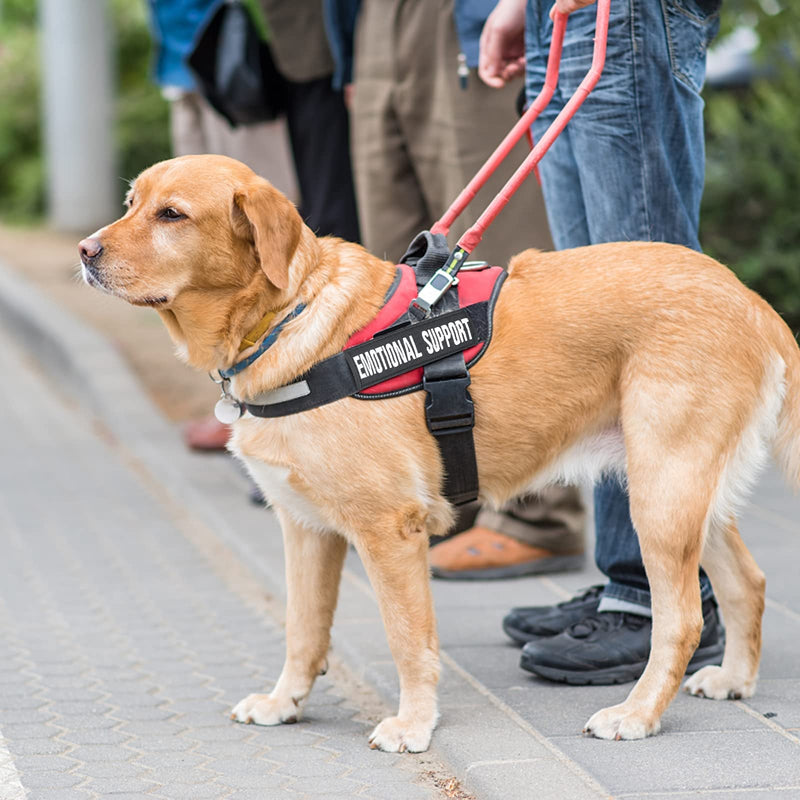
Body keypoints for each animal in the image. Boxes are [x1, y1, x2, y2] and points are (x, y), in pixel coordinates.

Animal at [79, 155, 800, 752]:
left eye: (172, 215)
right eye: (132, 201)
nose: (84, 251)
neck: (291, 319)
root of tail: (752, 300)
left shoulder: (389, 532)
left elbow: (407, 640)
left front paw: (413, 723)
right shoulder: (306, 528)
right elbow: (303, 629)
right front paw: (286, 702)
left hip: (661, 495)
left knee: (680, 621)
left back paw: (638, 714)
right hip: (686, 493)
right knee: (748, 582)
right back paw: (733, 679)